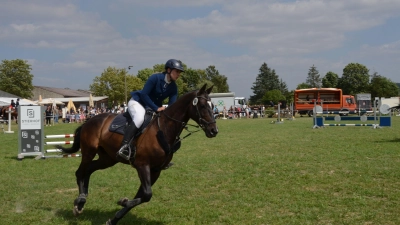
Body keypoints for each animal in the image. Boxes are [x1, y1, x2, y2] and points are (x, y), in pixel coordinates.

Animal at [56, 83, 219, 224]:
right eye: (202, 106)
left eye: (212, 106)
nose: (214, 131)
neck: (164, 129)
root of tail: (89, 121)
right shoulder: (143, 165)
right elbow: (146, 194)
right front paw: (123, 202)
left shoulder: (156, 170)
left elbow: (143, 195)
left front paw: (117, 214)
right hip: (89, 152)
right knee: (80, 172)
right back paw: (79, 203)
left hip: (108, 159)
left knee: (89, 170)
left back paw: (83, 200)